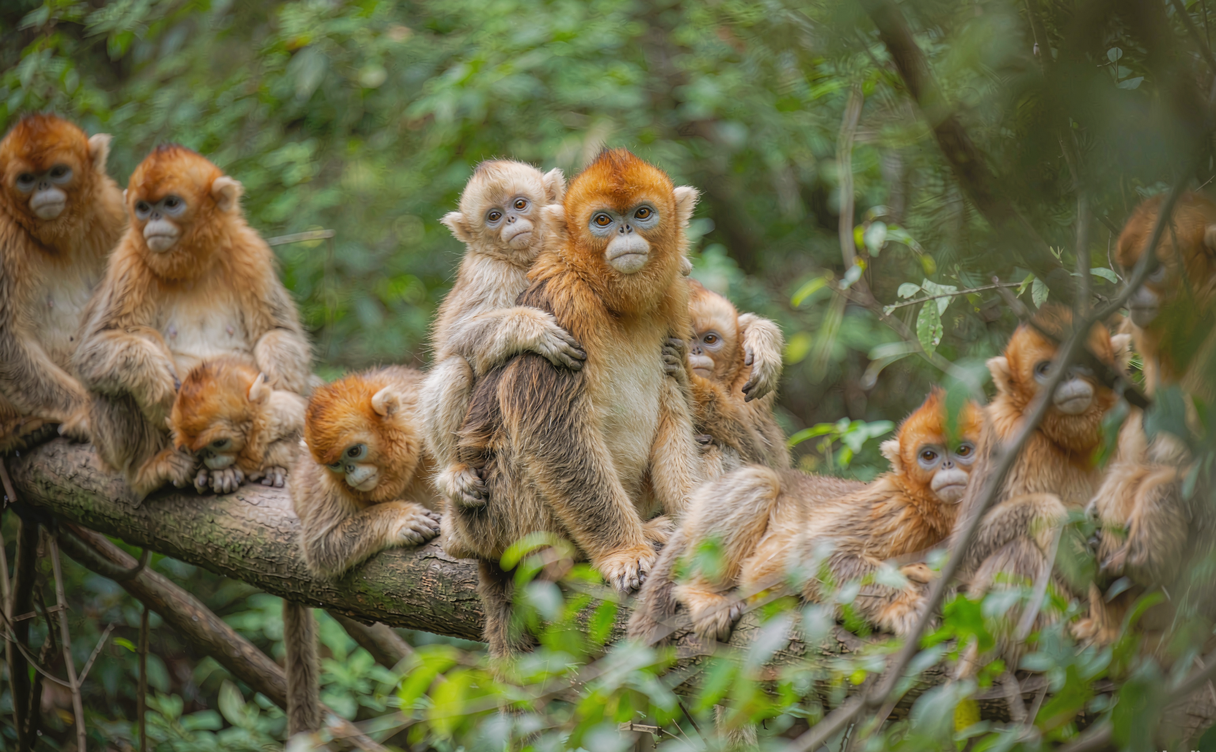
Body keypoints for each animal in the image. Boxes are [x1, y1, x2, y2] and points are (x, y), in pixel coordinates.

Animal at [0, 114, 125, 451]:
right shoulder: (3, 233)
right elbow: (7, 341)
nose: (44, 187)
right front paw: (84, 413)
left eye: (58, 172)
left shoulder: (109, 209)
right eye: (26, 179)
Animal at [419, 160, 587, 510]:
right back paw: (454, 469)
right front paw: (533, 330)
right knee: (455, 367)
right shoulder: (489, 272)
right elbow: (457, 338)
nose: (511, 220)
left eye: (519, 204)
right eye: (494, 216)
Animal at [442, 149, 705, 658]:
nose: (624, 232)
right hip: (494, 516)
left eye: (643, 213)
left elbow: (675, 415)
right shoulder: (565, 303)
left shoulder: (675, 307)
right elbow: (554, 434)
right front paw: (624, 552)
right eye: (602, 221)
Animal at [627, 388, 982, 645]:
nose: (947, 466)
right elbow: (811, 558)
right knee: (760, 483)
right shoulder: (893, 512)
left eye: (964, 451)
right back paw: (699, 592)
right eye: (928, 456)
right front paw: (902, 604)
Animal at [950, 304, 1122, 675]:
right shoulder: (1008, 432)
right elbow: (962, 554)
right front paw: (1062, 521)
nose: (1068, 377)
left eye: (1083, 361)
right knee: (1019, 549)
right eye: (1047, 370)